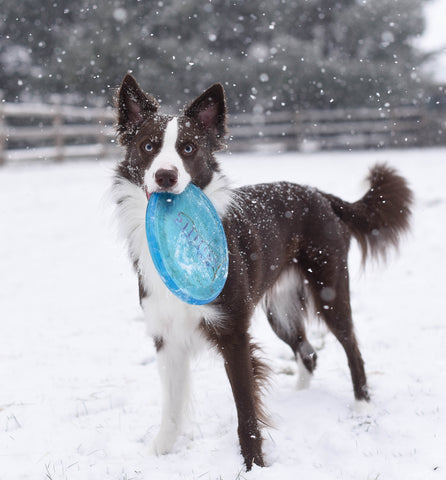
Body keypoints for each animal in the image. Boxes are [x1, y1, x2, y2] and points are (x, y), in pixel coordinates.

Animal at [110, 75, 412, 468]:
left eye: (188, 148)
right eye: (148, 146)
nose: (165, 176)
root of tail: (320, 195)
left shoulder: (233, 333)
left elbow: (246, 411)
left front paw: (254, 464)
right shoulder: (166, 335)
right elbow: (172, 407)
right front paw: (159, 452)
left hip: (330, 292)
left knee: (351, 348)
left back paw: (362, 408)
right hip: (278, 311)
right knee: (308, 353)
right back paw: (301, 398)